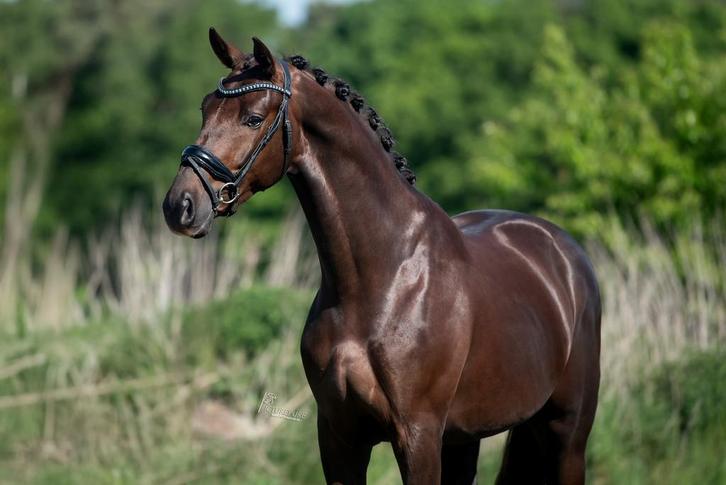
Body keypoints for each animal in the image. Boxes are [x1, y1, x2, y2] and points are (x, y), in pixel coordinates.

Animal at [162, 29, 601, 485]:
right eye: (205, 108)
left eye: (252, 118)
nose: (180, 206)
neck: (379, 279)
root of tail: (564, 252)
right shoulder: (339, 436)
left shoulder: (418, 436)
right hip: (465, 438)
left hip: (567, 435)